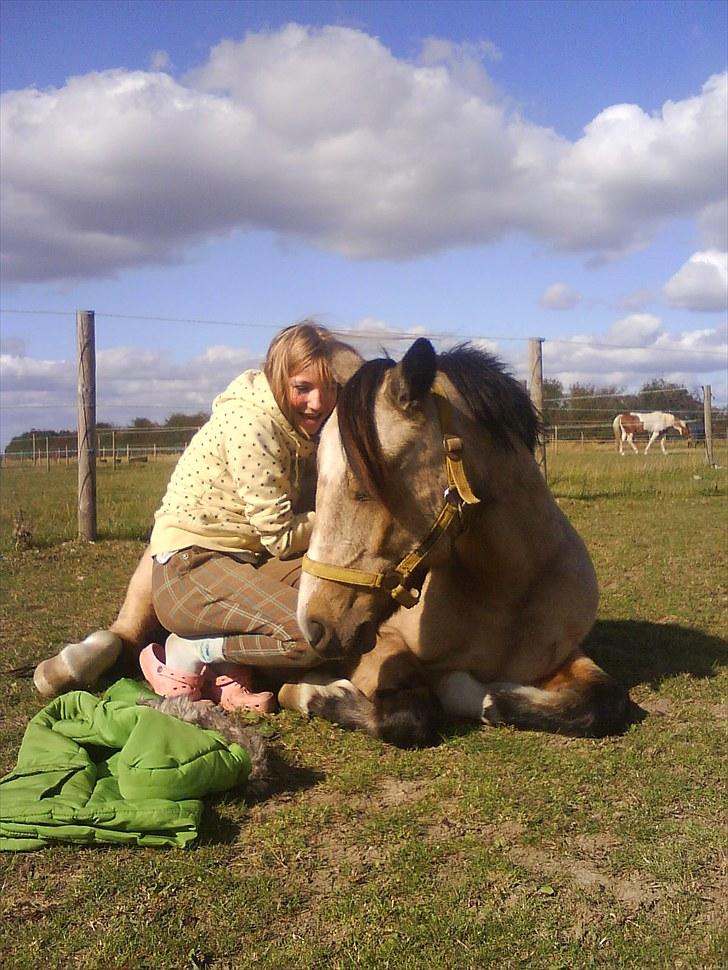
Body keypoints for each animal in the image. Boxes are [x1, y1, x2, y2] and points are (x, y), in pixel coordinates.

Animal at [276, 338, 631, 748]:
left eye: (366, 485)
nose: (314, 626)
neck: (504, 595)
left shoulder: (563, 655)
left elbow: (603, 702)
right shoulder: (382, 641)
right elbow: (411, 713)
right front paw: (313, 691)